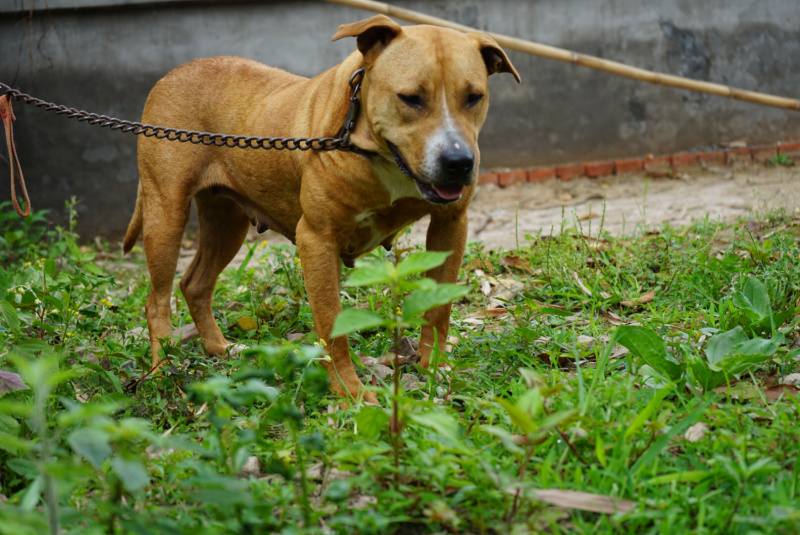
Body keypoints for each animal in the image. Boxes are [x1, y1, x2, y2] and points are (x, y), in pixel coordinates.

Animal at [120, 14, 520, 404]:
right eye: (411, 98)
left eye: (474, 97)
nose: (458, 162)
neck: (369, 144)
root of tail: (174, 72)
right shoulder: (317, 240)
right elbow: (332, 324)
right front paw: (349, 393)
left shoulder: (450, 223)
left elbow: (439, 308)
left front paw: (433, 369)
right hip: (165, 215)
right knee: (157, 301)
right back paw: (161, 372)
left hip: (226, 222)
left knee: (195, 284)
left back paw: (220, 348)